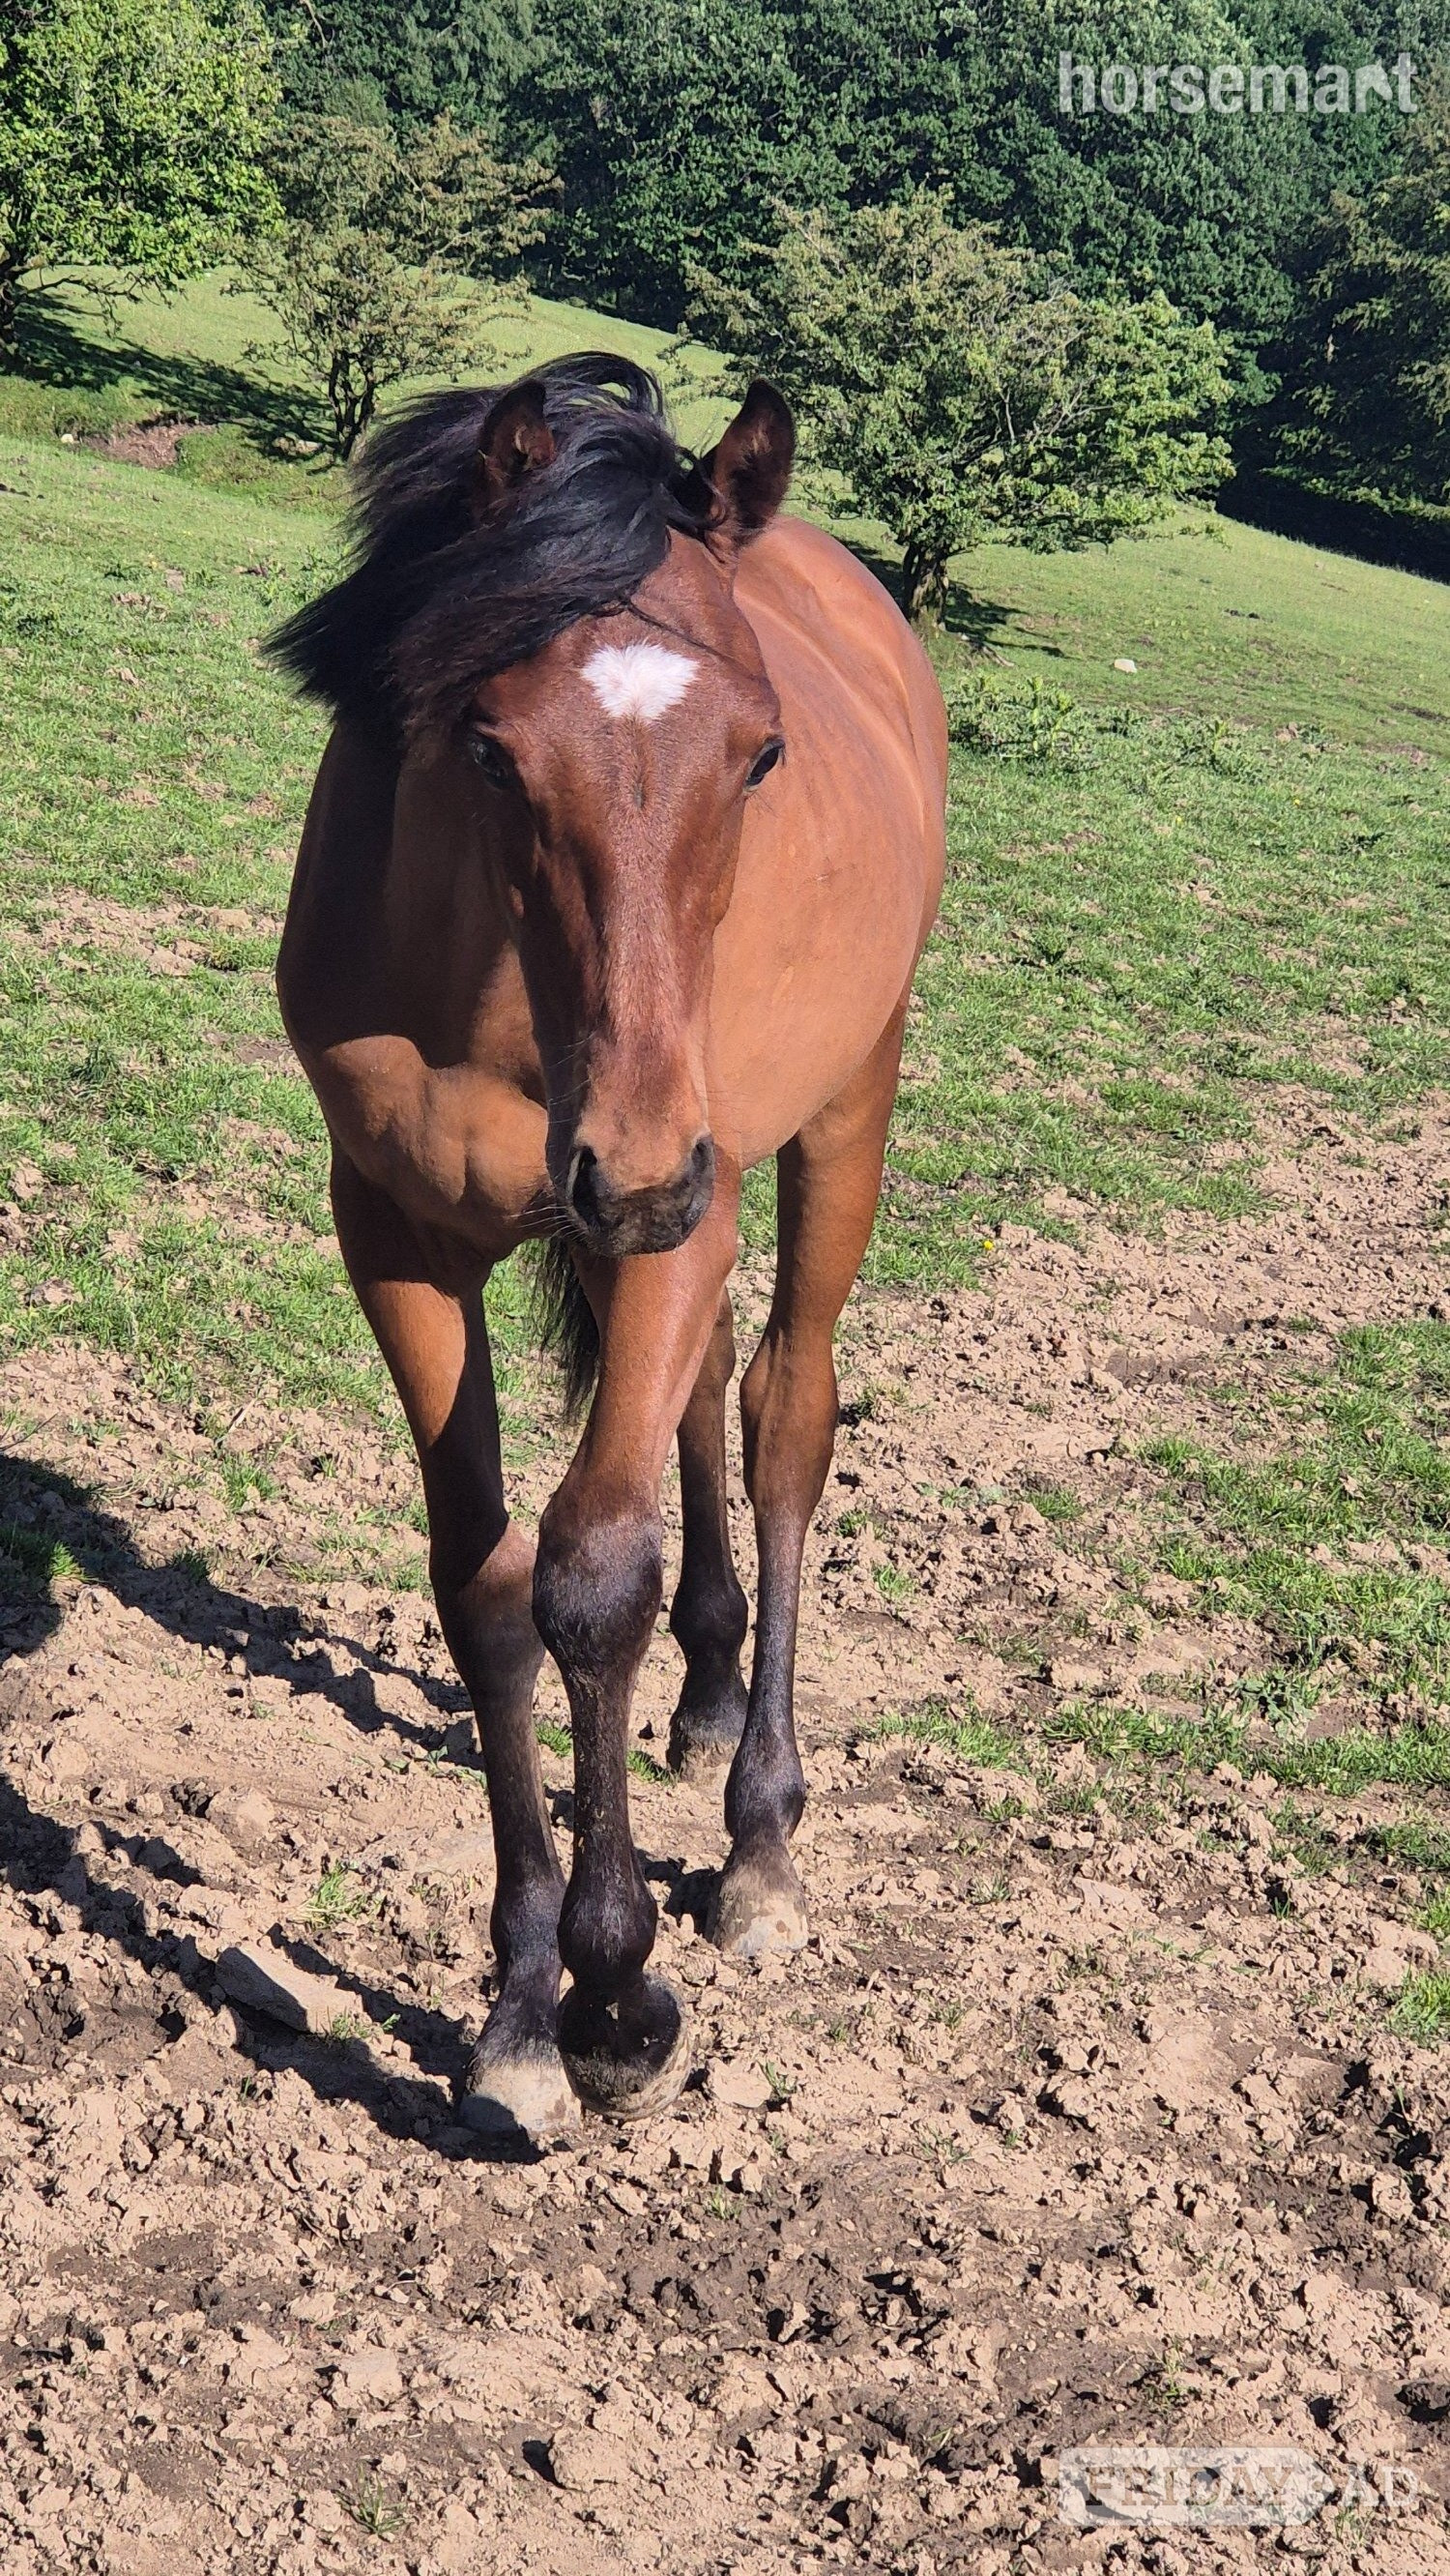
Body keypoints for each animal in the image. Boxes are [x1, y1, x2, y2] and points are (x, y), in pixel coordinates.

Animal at [272, 355, 947, 2141]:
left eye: (763, 752)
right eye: (489, 748)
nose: (632, 1169)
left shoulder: (670, 1218)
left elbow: (589, 1576)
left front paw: (619, 1996)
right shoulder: (395, 1230)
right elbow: (484, 1585)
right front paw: (516, 2006)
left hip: (833, 1110)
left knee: (782, 1414)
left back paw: (761, 1829)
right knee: (703, 1403)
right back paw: (703, 1696)